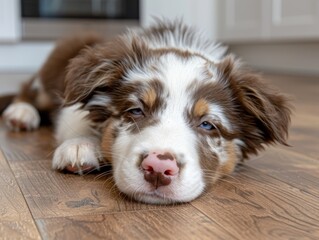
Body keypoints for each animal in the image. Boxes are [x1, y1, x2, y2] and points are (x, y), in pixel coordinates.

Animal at [1, 21, 292, 204]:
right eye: (136, 110)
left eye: (208, 125)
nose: (159, 168)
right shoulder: (71, 102)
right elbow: (76, 117)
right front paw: (80, 145)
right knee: (27, 89)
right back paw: (21, 113)